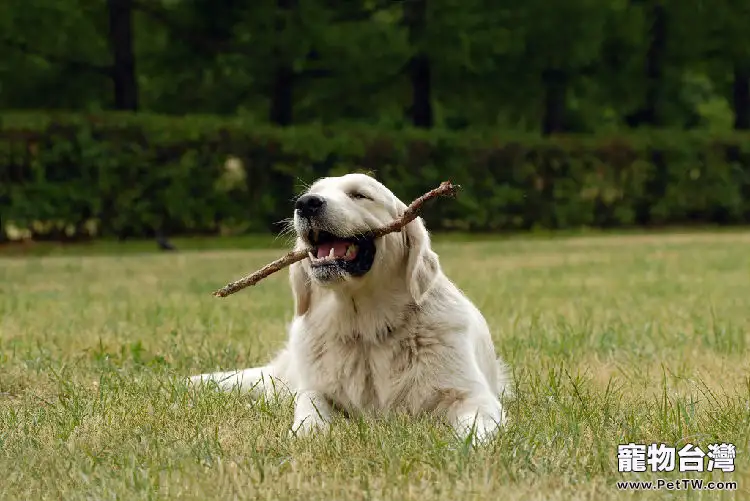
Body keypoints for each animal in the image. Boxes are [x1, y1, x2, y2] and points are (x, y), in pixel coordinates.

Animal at [191, 175, 516, 442]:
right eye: (310, 193)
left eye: (360, 195)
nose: (306, 204)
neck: (366, 329)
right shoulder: (315, 390)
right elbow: (310, 411)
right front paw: (307, 435)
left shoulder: (473, 396)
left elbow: (476, 429)